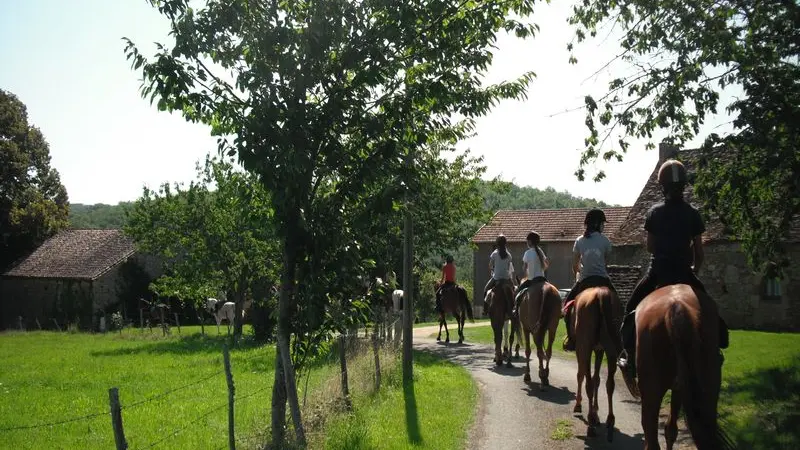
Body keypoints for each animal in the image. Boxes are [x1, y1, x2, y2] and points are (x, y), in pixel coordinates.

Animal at [568, 286, 624, 442]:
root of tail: (601, 293)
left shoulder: (581, 350)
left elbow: (582, 376)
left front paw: (580, 406)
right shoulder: (600, 350)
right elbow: (597, 379)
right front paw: (596, 412)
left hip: (585, 348)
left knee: (588, 383)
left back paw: (591, 425)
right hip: (610, 351)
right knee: (609, 384)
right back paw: (610, 422)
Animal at [636, 284, 736, 450]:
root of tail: (676, 306)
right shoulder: (681, 388)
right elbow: (671, 429)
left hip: (651, 392)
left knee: (651, 439)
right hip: (709, 389)